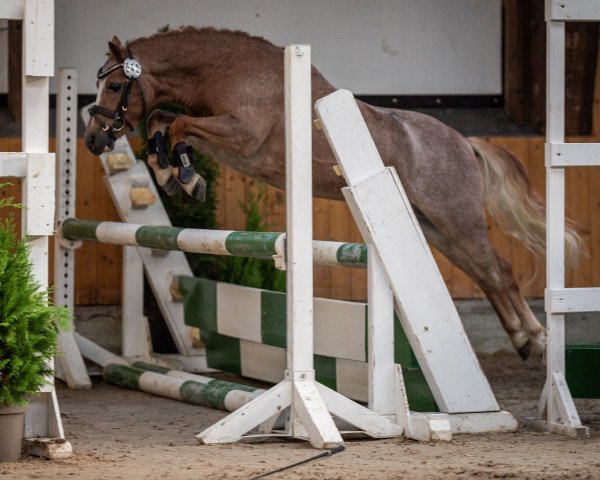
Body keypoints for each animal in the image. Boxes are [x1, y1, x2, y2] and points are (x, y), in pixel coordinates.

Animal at [83, 26, 580, 360]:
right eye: (99, 83)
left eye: (115, 85)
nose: (92, 141)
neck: (227, 71)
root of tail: (464, 142)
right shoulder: (223, 137)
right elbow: (163, 120)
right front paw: (174, 174)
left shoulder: (240, 136)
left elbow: (175, 124)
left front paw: (183, 176)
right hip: (438, 230)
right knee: (485, 275)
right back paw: (522, 340)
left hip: (459, 220)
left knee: (500, 272)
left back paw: (536, 339)